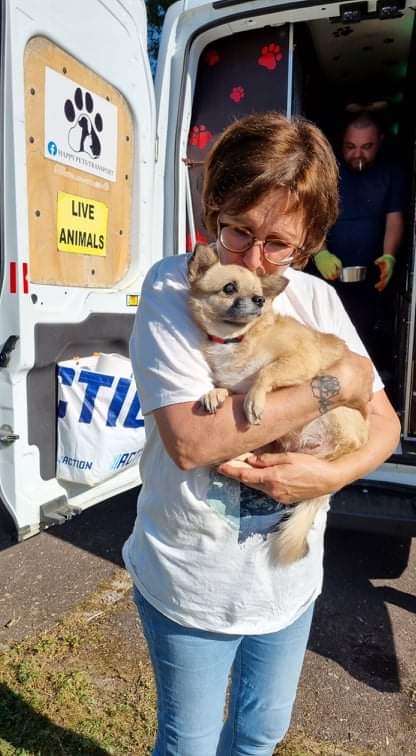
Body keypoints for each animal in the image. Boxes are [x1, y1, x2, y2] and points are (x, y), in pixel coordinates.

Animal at [188, 245, 368, 564]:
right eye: (229, 288)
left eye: (259, 293)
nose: (260, 300)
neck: (236, 339)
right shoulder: (233, 381)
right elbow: (227, 386)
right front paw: (214, 394)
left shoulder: (299, 359)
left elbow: (266, 371)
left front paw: (254, 398)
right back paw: (244, 456)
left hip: (337, 407)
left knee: (345, 447)